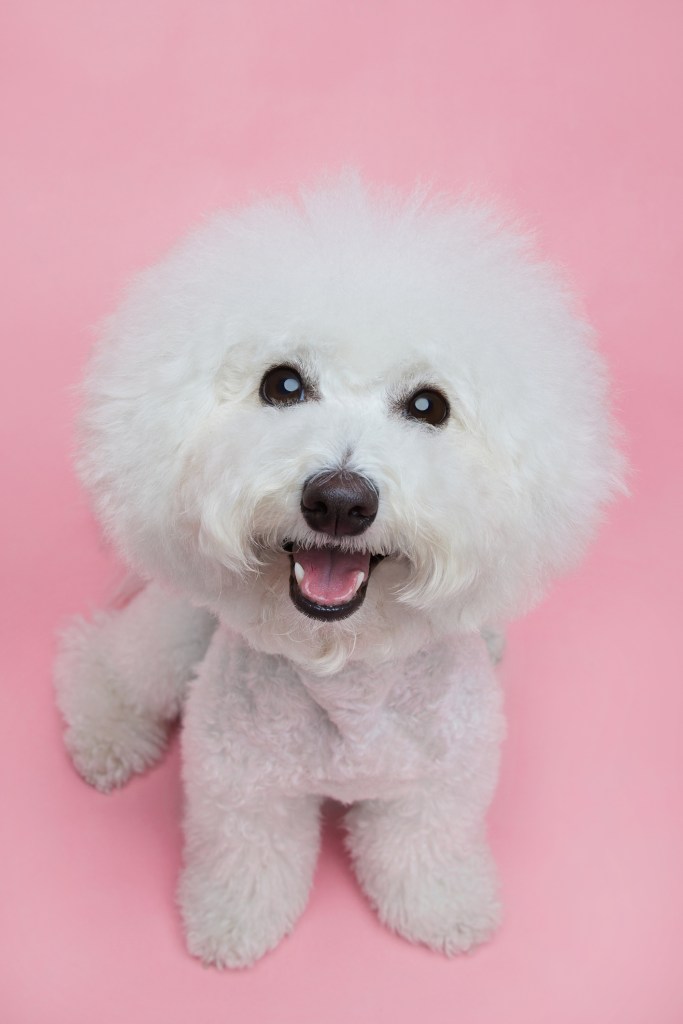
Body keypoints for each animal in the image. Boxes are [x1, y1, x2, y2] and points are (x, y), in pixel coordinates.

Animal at [54, 174, 626, 966]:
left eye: (428, 405)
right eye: (283, 385)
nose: (338, 500)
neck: (346, 674)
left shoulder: (438, 785)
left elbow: (425, 846)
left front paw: (445, 907)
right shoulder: (241, 789)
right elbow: (249, 859)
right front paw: (232, 922)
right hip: (173, 640)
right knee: (100, 657)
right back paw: (107, 736)